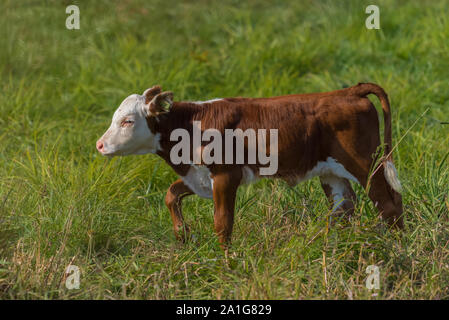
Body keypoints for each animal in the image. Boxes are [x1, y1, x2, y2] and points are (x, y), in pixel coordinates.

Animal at [97, 82, 402, 248]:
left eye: (127, 121)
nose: (100, 145)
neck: (190, 125)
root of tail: (348, 91)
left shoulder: (225, 175)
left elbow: (222, 223)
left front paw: (227, 264)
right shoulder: (199, 176)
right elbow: (171, 195)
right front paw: (183, 236)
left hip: (365, 164)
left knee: (387, 205)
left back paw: (395, 248)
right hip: (331, 171)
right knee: (345, 208)